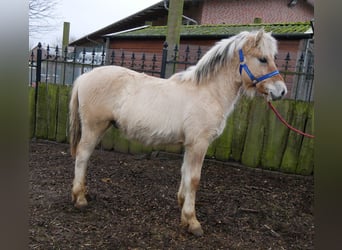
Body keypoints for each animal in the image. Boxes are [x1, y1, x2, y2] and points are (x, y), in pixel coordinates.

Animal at [69, 29, 286, 236]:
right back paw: (80, 198)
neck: (207, 91)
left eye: (272, 57)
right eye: (263, 59)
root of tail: (84, 77)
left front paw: (183, 207)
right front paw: (193, 221)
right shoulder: (199, 144)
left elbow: (185, 173)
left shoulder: (190, 145)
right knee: (82, 156)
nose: (281, 91)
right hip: (94, 127)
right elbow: (194, 179)